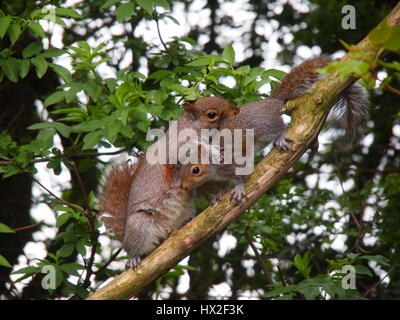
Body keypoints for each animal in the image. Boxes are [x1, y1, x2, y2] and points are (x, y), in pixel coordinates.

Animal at [98, 97, 239, 268]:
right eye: (211, 114)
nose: (236, 111)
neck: (193, 126)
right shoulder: (174, 151)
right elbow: (192, 148)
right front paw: (213, 150)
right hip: (140, 224)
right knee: (134, 248)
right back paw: (133, 258)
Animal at [180, 56, 368, 204]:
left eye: (195, 170)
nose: (183, 186)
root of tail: (272, 102)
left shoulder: (234, 162)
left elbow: (241, 176)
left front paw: (238, 188)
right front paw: (218, 194)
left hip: (264, 125)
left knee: (282, 127)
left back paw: (282, 138)